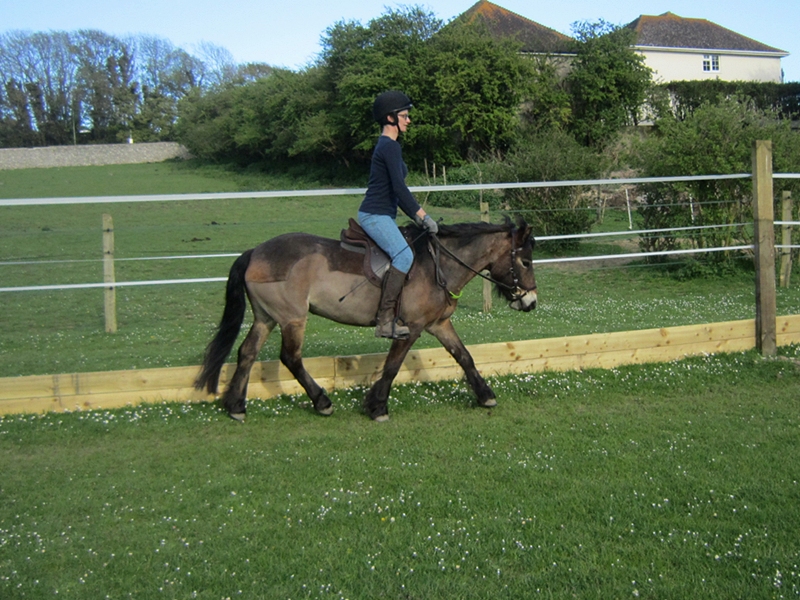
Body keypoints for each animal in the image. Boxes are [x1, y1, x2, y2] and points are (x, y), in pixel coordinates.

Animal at [194, 216, 538, 421]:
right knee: (290, 357)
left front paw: (485, 396)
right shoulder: (411, 327)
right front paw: (377, 405)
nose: (531, 302)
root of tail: (255, 252)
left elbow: (464, 356)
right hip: (292, 319)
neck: (437, 265)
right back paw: (322, 402)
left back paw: (236, 406)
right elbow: (392, 366)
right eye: (524, 261)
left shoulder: (438, 324)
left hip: (267, 317)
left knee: (247, 352)